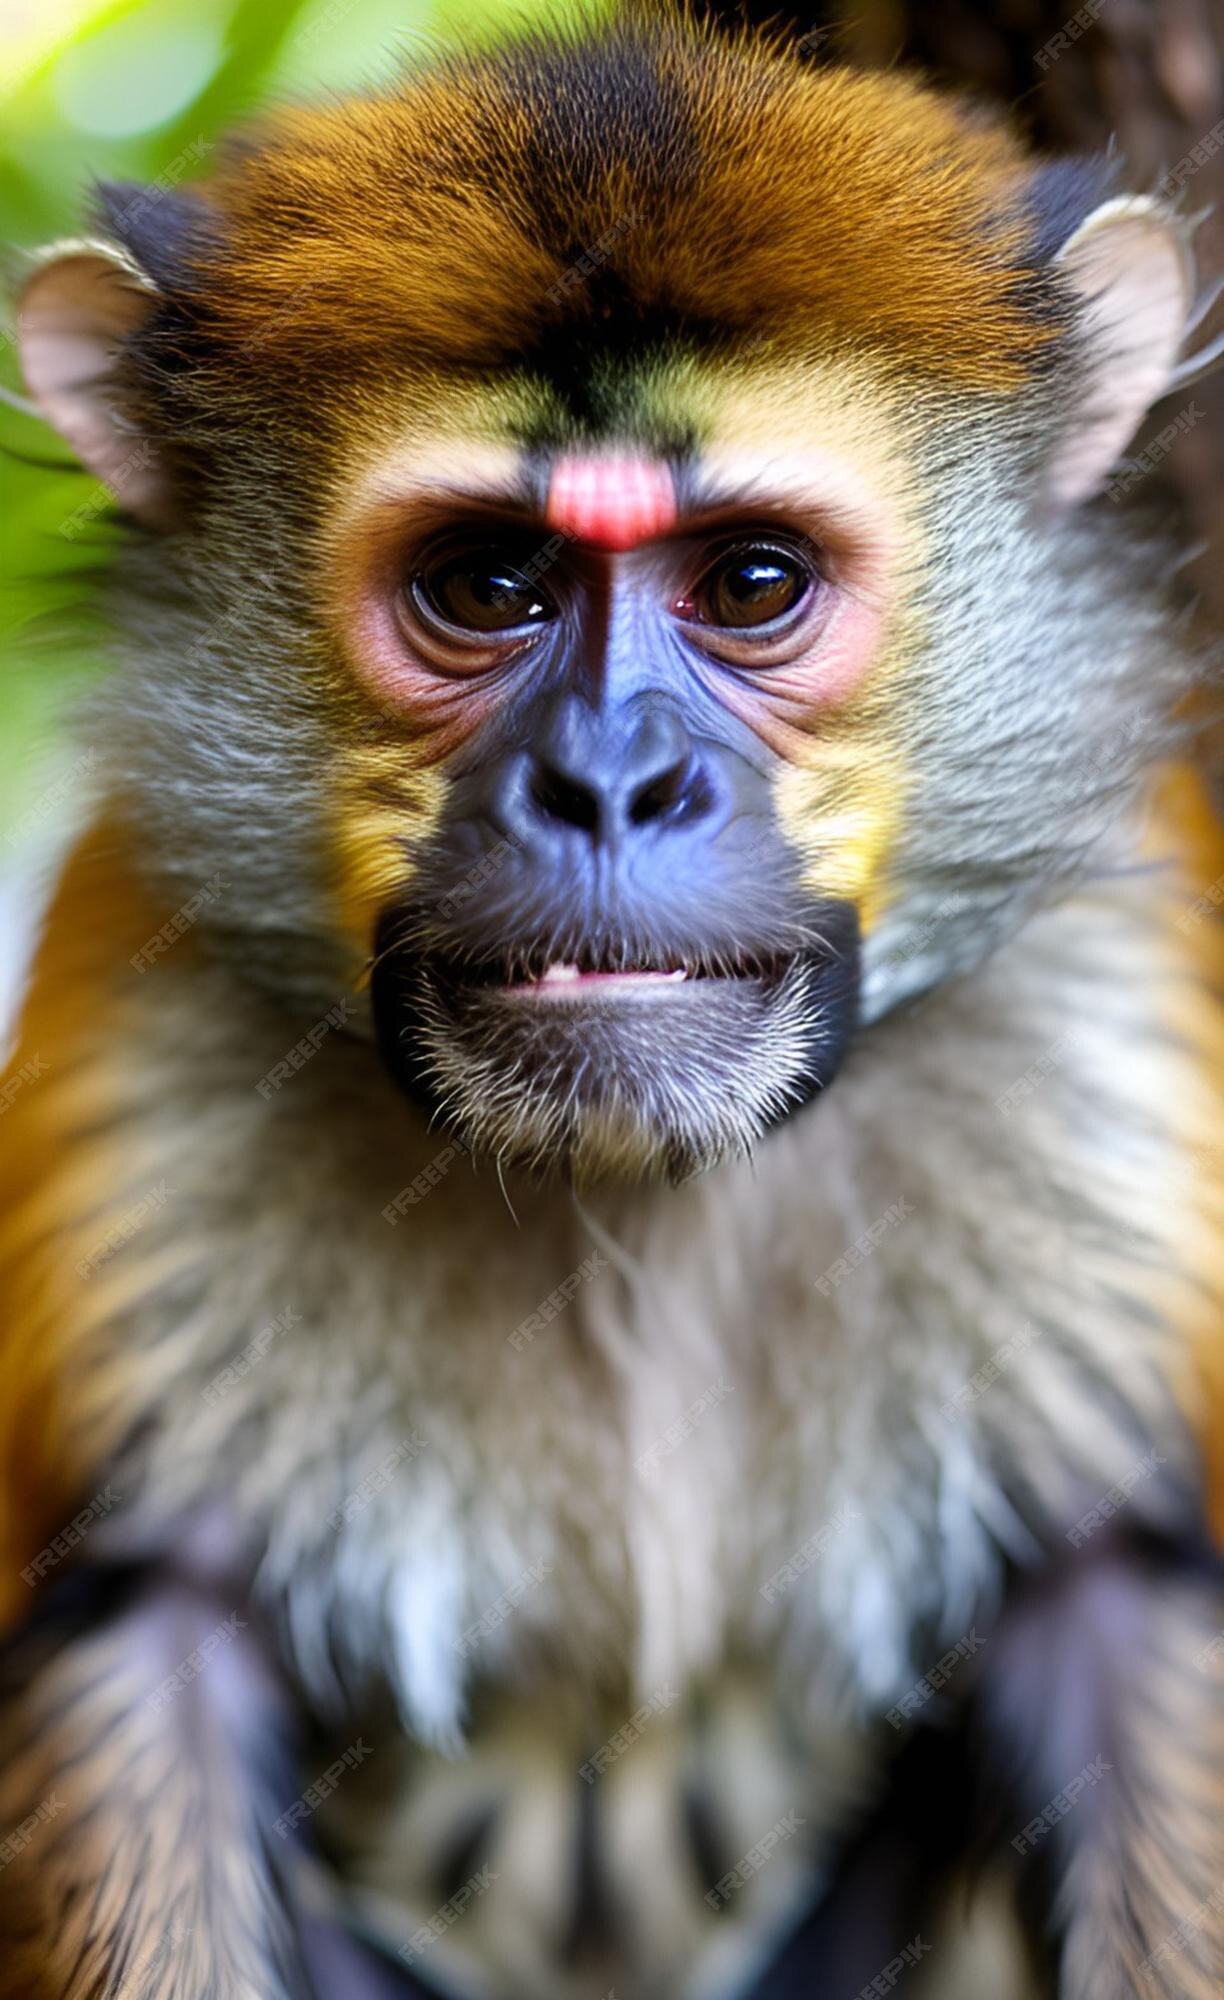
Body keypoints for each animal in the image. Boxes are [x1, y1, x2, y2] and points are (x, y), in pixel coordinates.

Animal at [2, 7, 1224, 1992]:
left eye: (750, 581)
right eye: (486, 584)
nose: (606, 786)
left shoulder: (1103, 1015)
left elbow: (1120, 1606)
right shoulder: (143, 1023)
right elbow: (142, 1641)